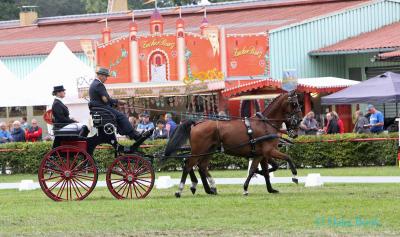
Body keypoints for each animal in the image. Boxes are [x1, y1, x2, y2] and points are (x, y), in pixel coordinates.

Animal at [164, 90, 302, 197]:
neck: (265, 124)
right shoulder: (269, 151)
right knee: (188, 164)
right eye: (294, 104)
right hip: (199, 150)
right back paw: (180, 190)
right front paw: (295, 176)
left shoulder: (261, 154)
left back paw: (210, 188)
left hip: (208, 151)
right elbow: (287, 158)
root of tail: (197, 123)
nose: (299, 120)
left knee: (201, 166)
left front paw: (269, 188)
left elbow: (263, 171)